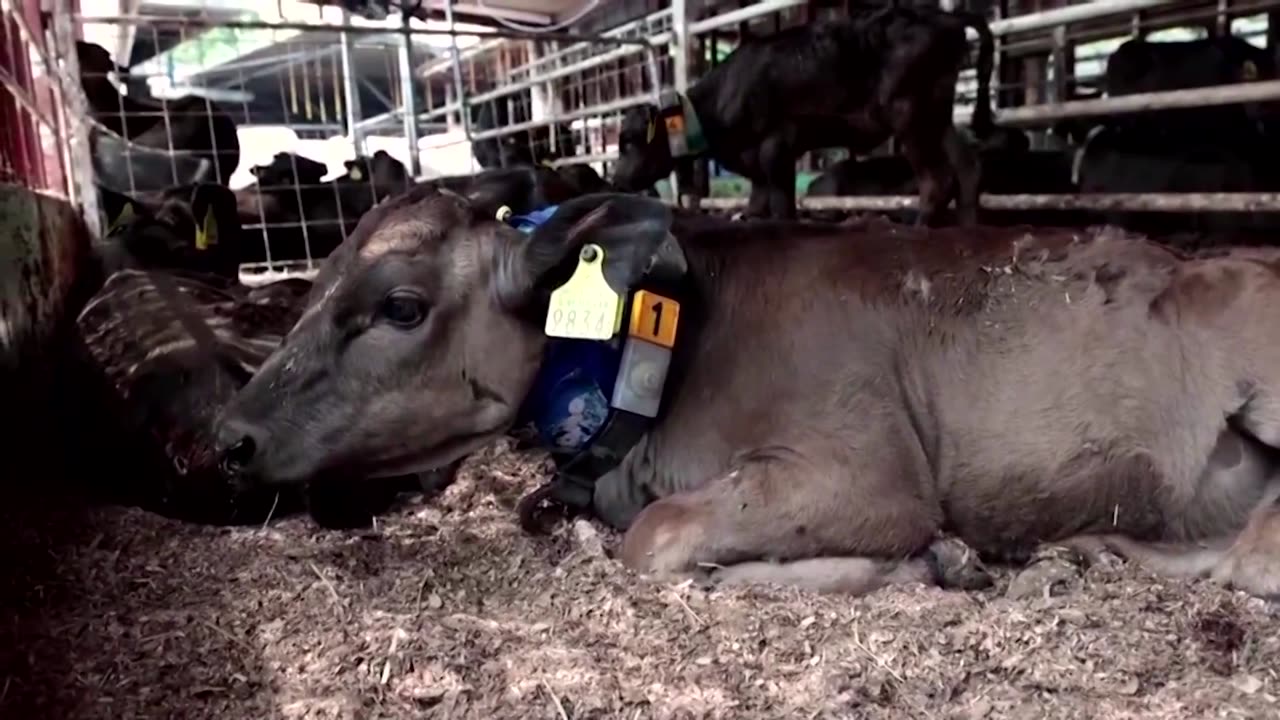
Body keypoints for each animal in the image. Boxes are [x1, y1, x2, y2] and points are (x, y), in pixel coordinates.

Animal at [212, 184, 1280, 594]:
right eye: (312, 284)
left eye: (399, 305)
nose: (226, 437)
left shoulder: (866, 473)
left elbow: (658, 539)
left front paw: (920, 563)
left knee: (1259, 556)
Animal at [609, 4, 1008, 224]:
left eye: (629, 142)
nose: (615, 178)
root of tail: (945, 16)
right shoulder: (755, 161)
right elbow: (758, 201)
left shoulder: (776, 145)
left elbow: (782, 202)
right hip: (936, 113)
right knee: (968, 167)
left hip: (908, 112)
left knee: (937, 180)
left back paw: (920, 228)